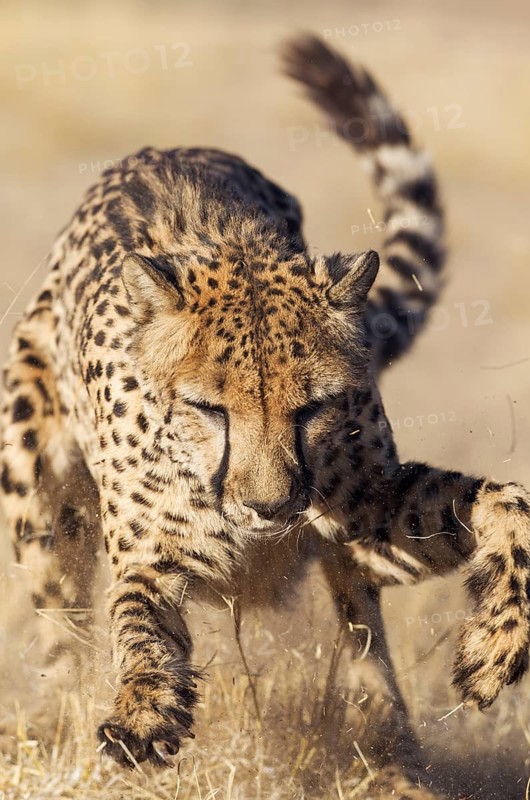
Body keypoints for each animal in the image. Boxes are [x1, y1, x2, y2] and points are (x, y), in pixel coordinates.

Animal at [2, 34, 530, 798]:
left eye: (312, 407)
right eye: (208, 409)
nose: (270, 507)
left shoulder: (365, 517)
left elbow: (507, 502)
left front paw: (495, 647)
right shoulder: (149, 549)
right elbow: (139, 620)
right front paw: (142, 712)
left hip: (344, 574)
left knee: (364, 642)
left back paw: (394, 762)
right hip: (36, 486)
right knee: (59, 624)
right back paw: (53, 718)